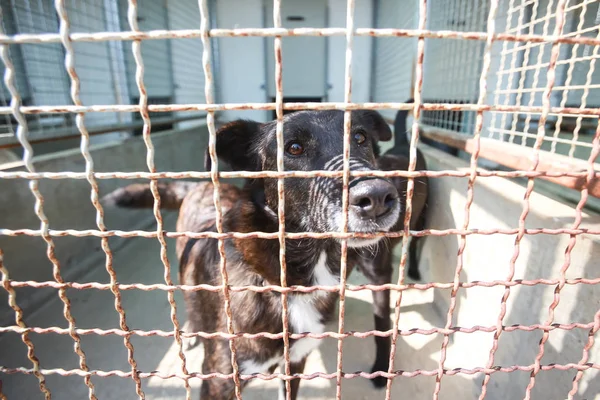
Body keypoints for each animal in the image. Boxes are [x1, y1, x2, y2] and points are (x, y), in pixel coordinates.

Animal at [104, 109, 426, 400]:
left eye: (360, 137)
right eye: (293, 148)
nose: (378, 197)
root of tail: (202, 186)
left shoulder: (294, 363)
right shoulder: (220, 381)